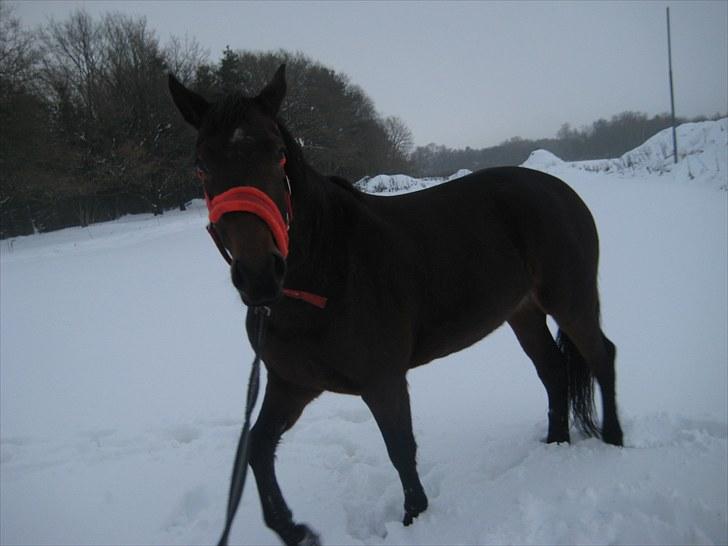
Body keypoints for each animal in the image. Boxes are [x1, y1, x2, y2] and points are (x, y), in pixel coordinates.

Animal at [168, 67, 624, 544]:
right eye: (201, 165)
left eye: (277, 155)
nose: (259, 275)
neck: (326, 271)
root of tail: (559, 189)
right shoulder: (292, 384)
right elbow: (256, 448)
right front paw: (296, 530)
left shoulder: (382, 380)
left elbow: (401, 450)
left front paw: (415, 518)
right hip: (523, 312)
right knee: (553, 370)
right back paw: (555, 445)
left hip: (570, 300)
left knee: (600, 355)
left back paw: (613, 441)